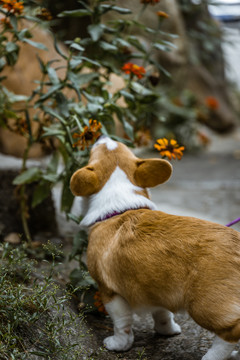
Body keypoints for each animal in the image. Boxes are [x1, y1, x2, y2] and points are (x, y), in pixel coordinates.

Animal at [70, 136, 240, 360]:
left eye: (95, 150)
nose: (104, 137)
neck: (120, 204)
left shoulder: (110, 293)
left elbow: (122, 323)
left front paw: (119, 344)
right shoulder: (156, 288)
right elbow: (162, 314)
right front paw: (167, 331)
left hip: (204, 306)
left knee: (230, 333)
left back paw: (213, 356)